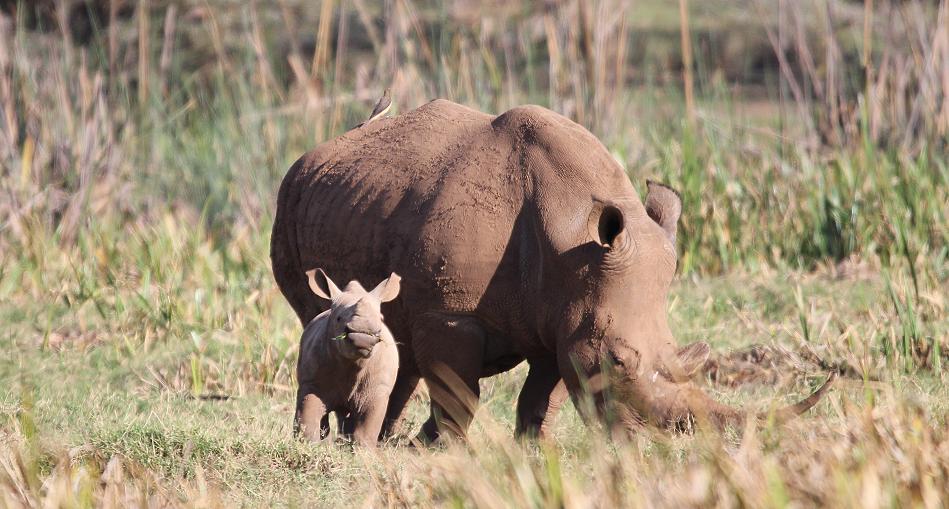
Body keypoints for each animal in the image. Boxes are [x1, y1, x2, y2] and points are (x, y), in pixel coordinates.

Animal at [296, 268, 400, 442]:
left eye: (380, 319)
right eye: (338, 318)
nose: (363, 333)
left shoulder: (377, 389)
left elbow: (367, 428)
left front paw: (363, 449)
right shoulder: (312, 383)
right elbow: (308, 417)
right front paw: (307, 444)